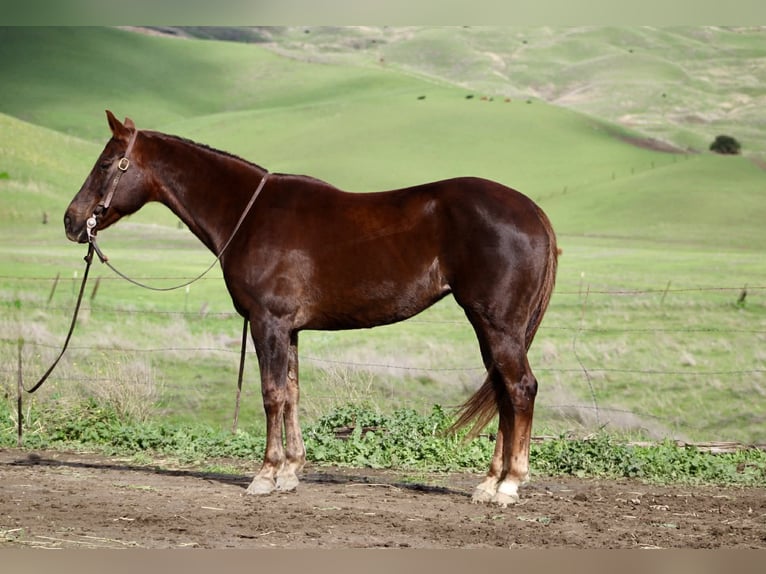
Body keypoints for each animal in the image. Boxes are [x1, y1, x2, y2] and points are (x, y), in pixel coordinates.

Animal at [64, 111, 558, 506]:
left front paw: (265, 475)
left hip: (496, 324)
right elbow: (293, 392)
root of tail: (533, 212)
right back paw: (489, 483)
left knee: (520, 389)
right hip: (489, 326)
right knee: (503, 392)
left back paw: (509, 485)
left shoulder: (267, 323)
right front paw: (290, 471)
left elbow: (271, 394)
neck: (249, 214)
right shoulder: (291, 330)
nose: (71, 221)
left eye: (106, 163)